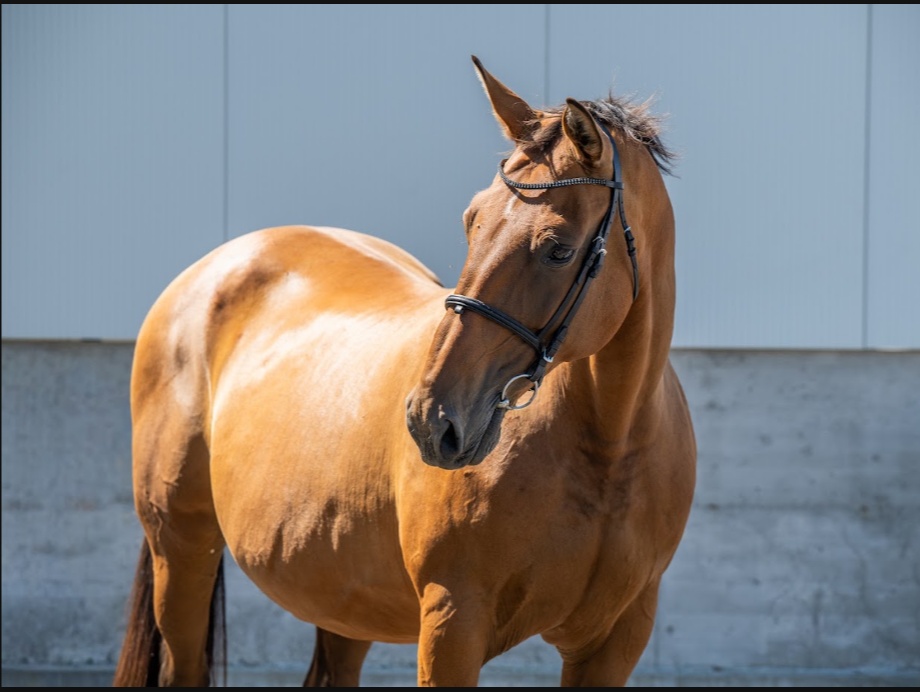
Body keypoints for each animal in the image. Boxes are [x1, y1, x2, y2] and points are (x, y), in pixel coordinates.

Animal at [113, 55, 696, 687]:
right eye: (471, 221)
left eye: (559, 249)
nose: (429, 421)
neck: (608, 448)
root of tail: (211, 269)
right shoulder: (452, 623)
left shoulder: (612, 643)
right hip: (182, 554)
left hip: (341, 599)